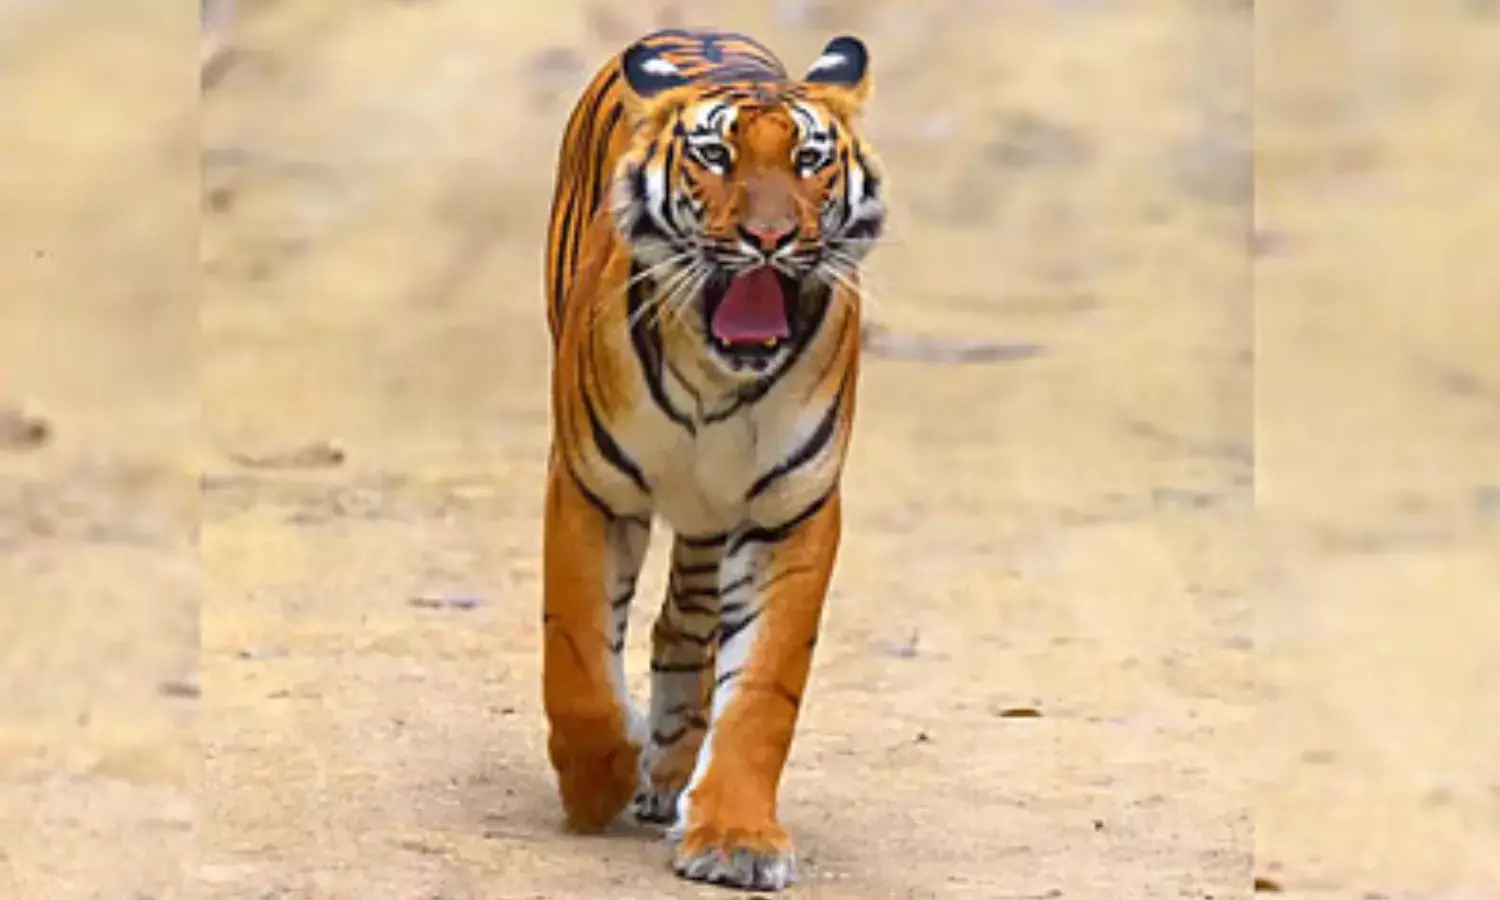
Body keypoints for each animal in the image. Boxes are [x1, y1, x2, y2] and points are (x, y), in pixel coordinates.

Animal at [539, 27, 885, 891]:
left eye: (808, 161)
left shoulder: (792, 511)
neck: (719, 381)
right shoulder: (592, 488)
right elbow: (577, 653)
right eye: (716, 157)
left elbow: (762, 690)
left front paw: (735, 838)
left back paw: (671, 776)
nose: (769, 239)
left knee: (684, 624)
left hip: (709, 515)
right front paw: (597, 778)